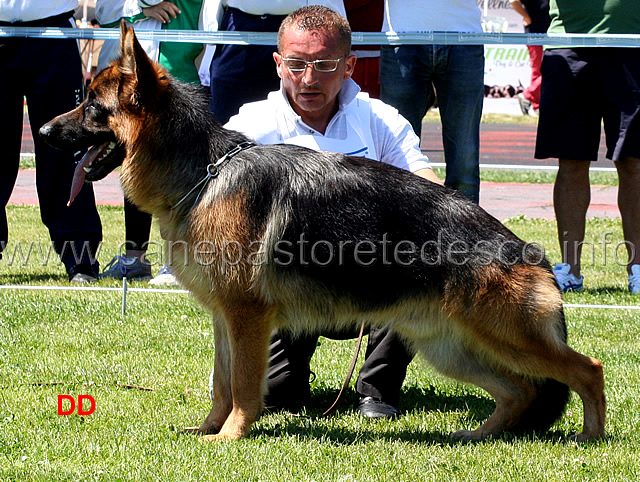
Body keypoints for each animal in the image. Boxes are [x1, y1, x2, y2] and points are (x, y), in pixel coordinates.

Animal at [41, 24, 604, 442]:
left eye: (92, 107)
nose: (43, 132)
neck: (205, 171)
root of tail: (527, 250)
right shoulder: (225, 317)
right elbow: (222, 383)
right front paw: (207, 430)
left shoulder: (246, 316)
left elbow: (243, 385)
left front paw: (232, 436)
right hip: (454, 347)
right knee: (520, 392)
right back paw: (481, 435)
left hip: (502, 335)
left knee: (587, 370)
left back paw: (592, 437)